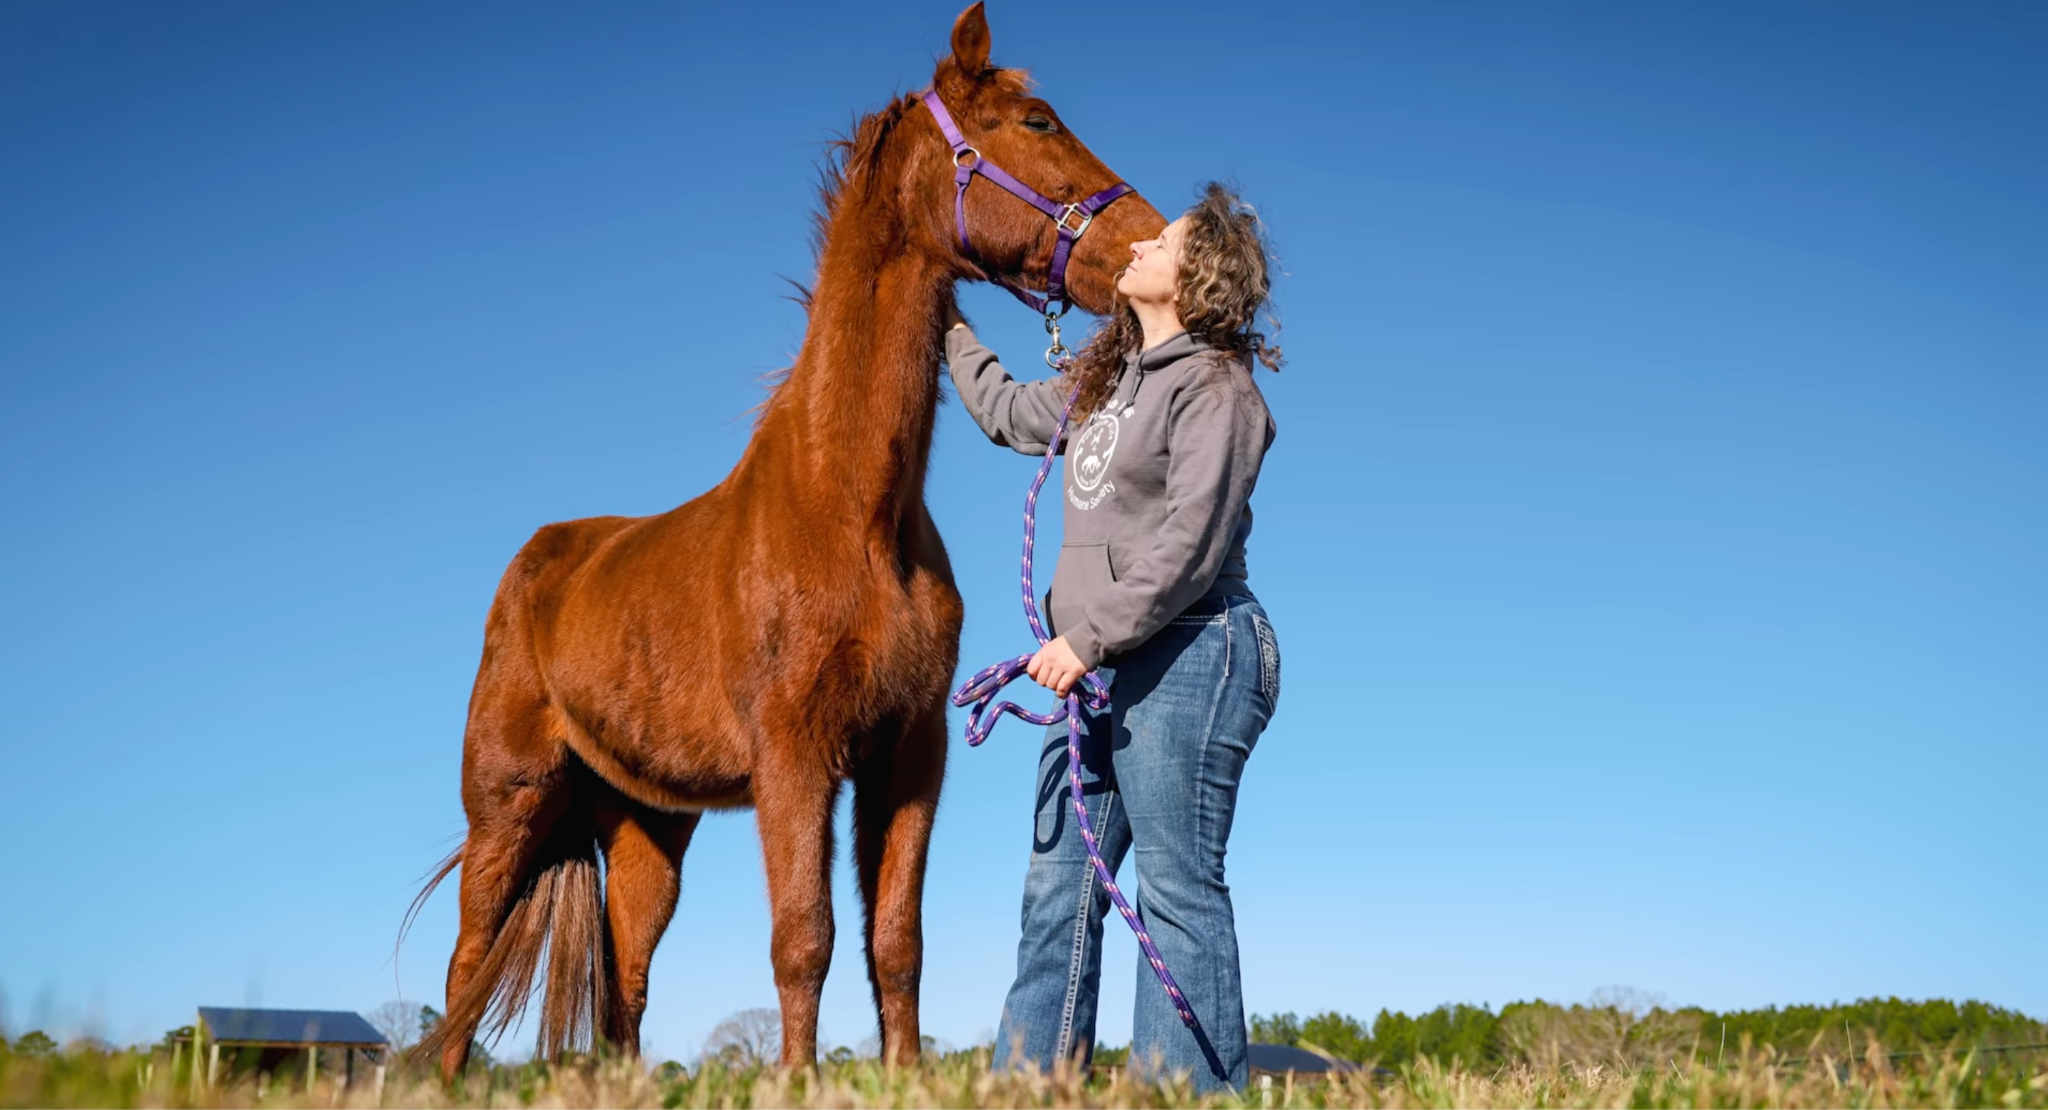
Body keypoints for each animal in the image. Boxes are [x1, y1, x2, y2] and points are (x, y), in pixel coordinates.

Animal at [412, 2, 1164, 1077]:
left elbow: (896, 941)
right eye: (1037, 119)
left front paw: (902, 1076)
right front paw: (800, 1077)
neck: (850, 510)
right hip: (508, 803)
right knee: (467, 967)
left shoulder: (908, 755)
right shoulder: (794, 760)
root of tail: (537, 563)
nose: (1155, 243)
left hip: (648, 825)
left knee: (623, 977)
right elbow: (804, 936)